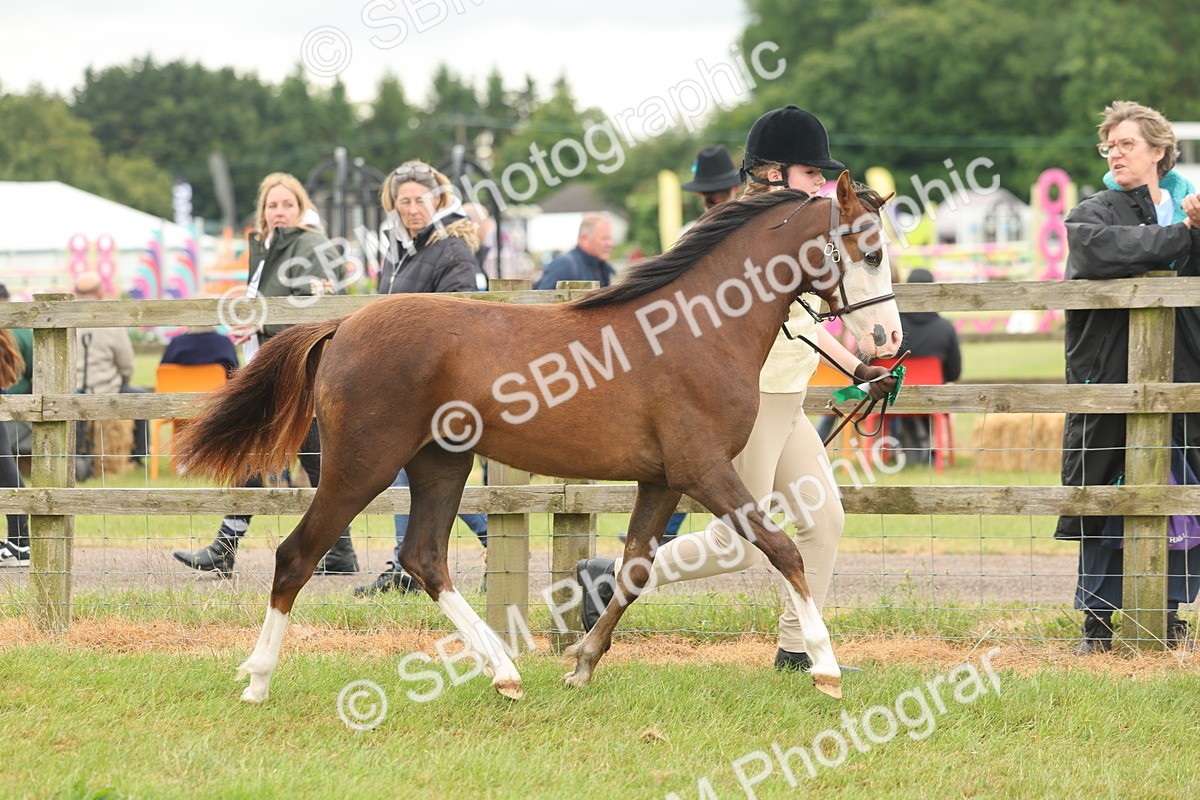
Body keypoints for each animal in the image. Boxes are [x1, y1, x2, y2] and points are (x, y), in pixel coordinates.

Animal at [175, 171, 902, 704]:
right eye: (869, 251)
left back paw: (505, 672)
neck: (697, 329)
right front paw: (826, 668)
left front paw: (581, 662)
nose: (888, 343)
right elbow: (784, 550)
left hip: (441, 464)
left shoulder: (663, 479)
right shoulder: (705, 471)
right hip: (364, 466)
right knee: (297, 555)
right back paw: (258, 680)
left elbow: (636, 567)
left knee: (424, 557)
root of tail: (342, 325)